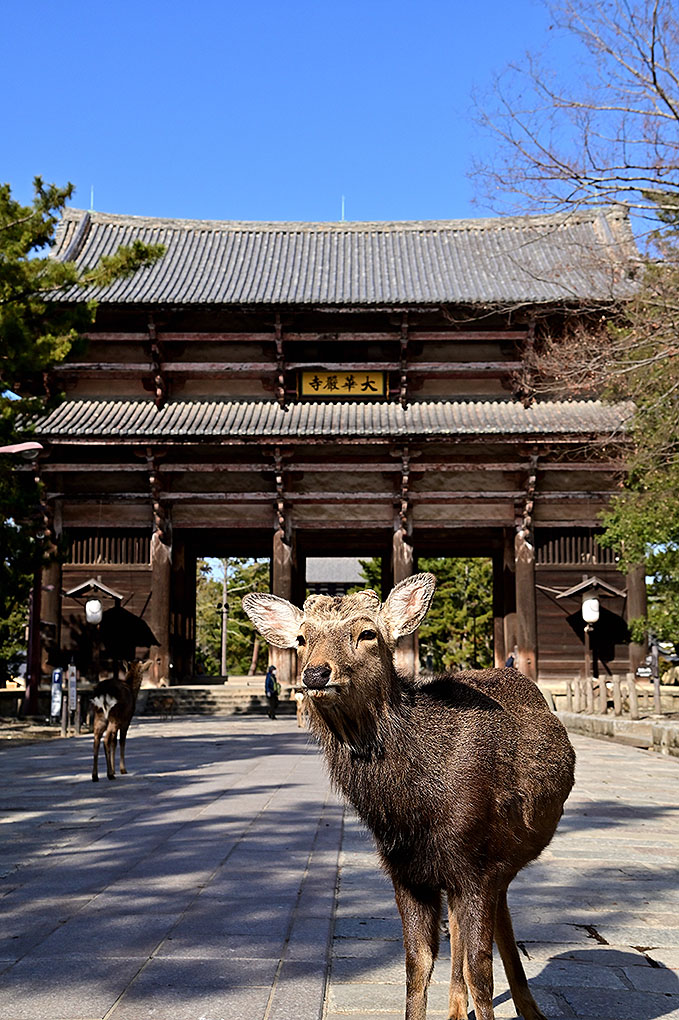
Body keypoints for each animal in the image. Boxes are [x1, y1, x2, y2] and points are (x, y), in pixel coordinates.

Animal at [243, 575, 570, 1020]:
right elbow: (418, 965)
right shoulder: (404, 868)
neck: (411, 810)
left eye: (367, 633)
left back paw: (527, 1010)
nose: (315, 673)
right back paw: (464, 1011)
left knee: (485, 932)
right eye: (301, 638)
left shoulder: (478, 863)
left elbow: (480, 972)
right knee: (467, 932)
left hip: (500, 859)